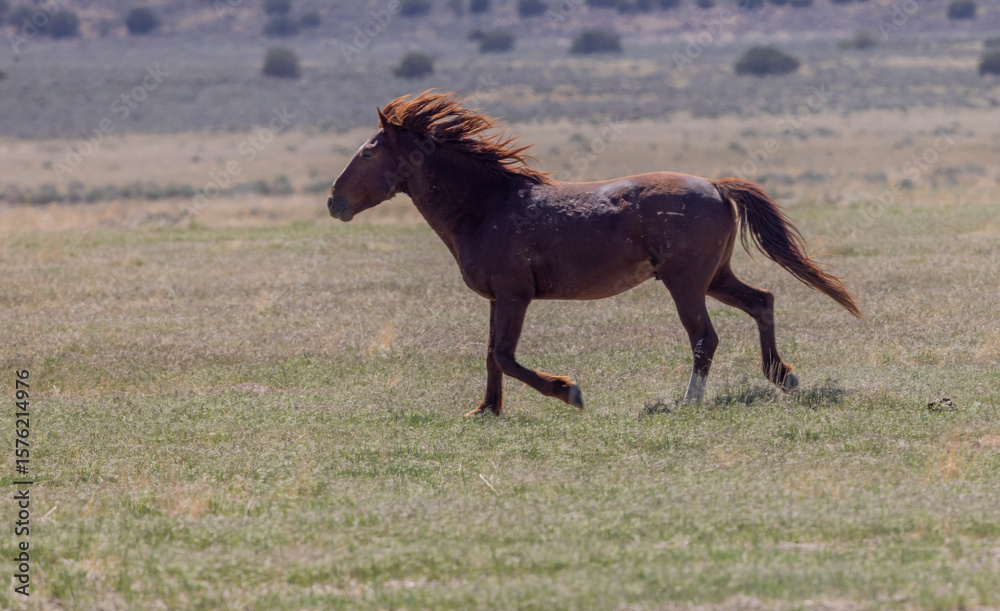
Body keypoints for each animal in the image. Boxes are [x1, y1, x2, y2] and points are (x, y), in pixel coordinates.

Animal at [327, 91, 862, 416]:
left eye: (369, 153)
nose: (334, 202)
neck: (487, 206)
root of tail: (714, 185)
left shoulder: (515, 295)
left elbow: (504, 355)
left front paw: (569, 391)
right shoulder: (499, 299)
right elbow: (491, 355)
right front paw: (485, 410)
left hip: (686, 283)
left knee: (705, 338)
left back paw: (687, 401)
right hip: (715, 277)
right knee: (762, 302)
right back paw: (783, 377)